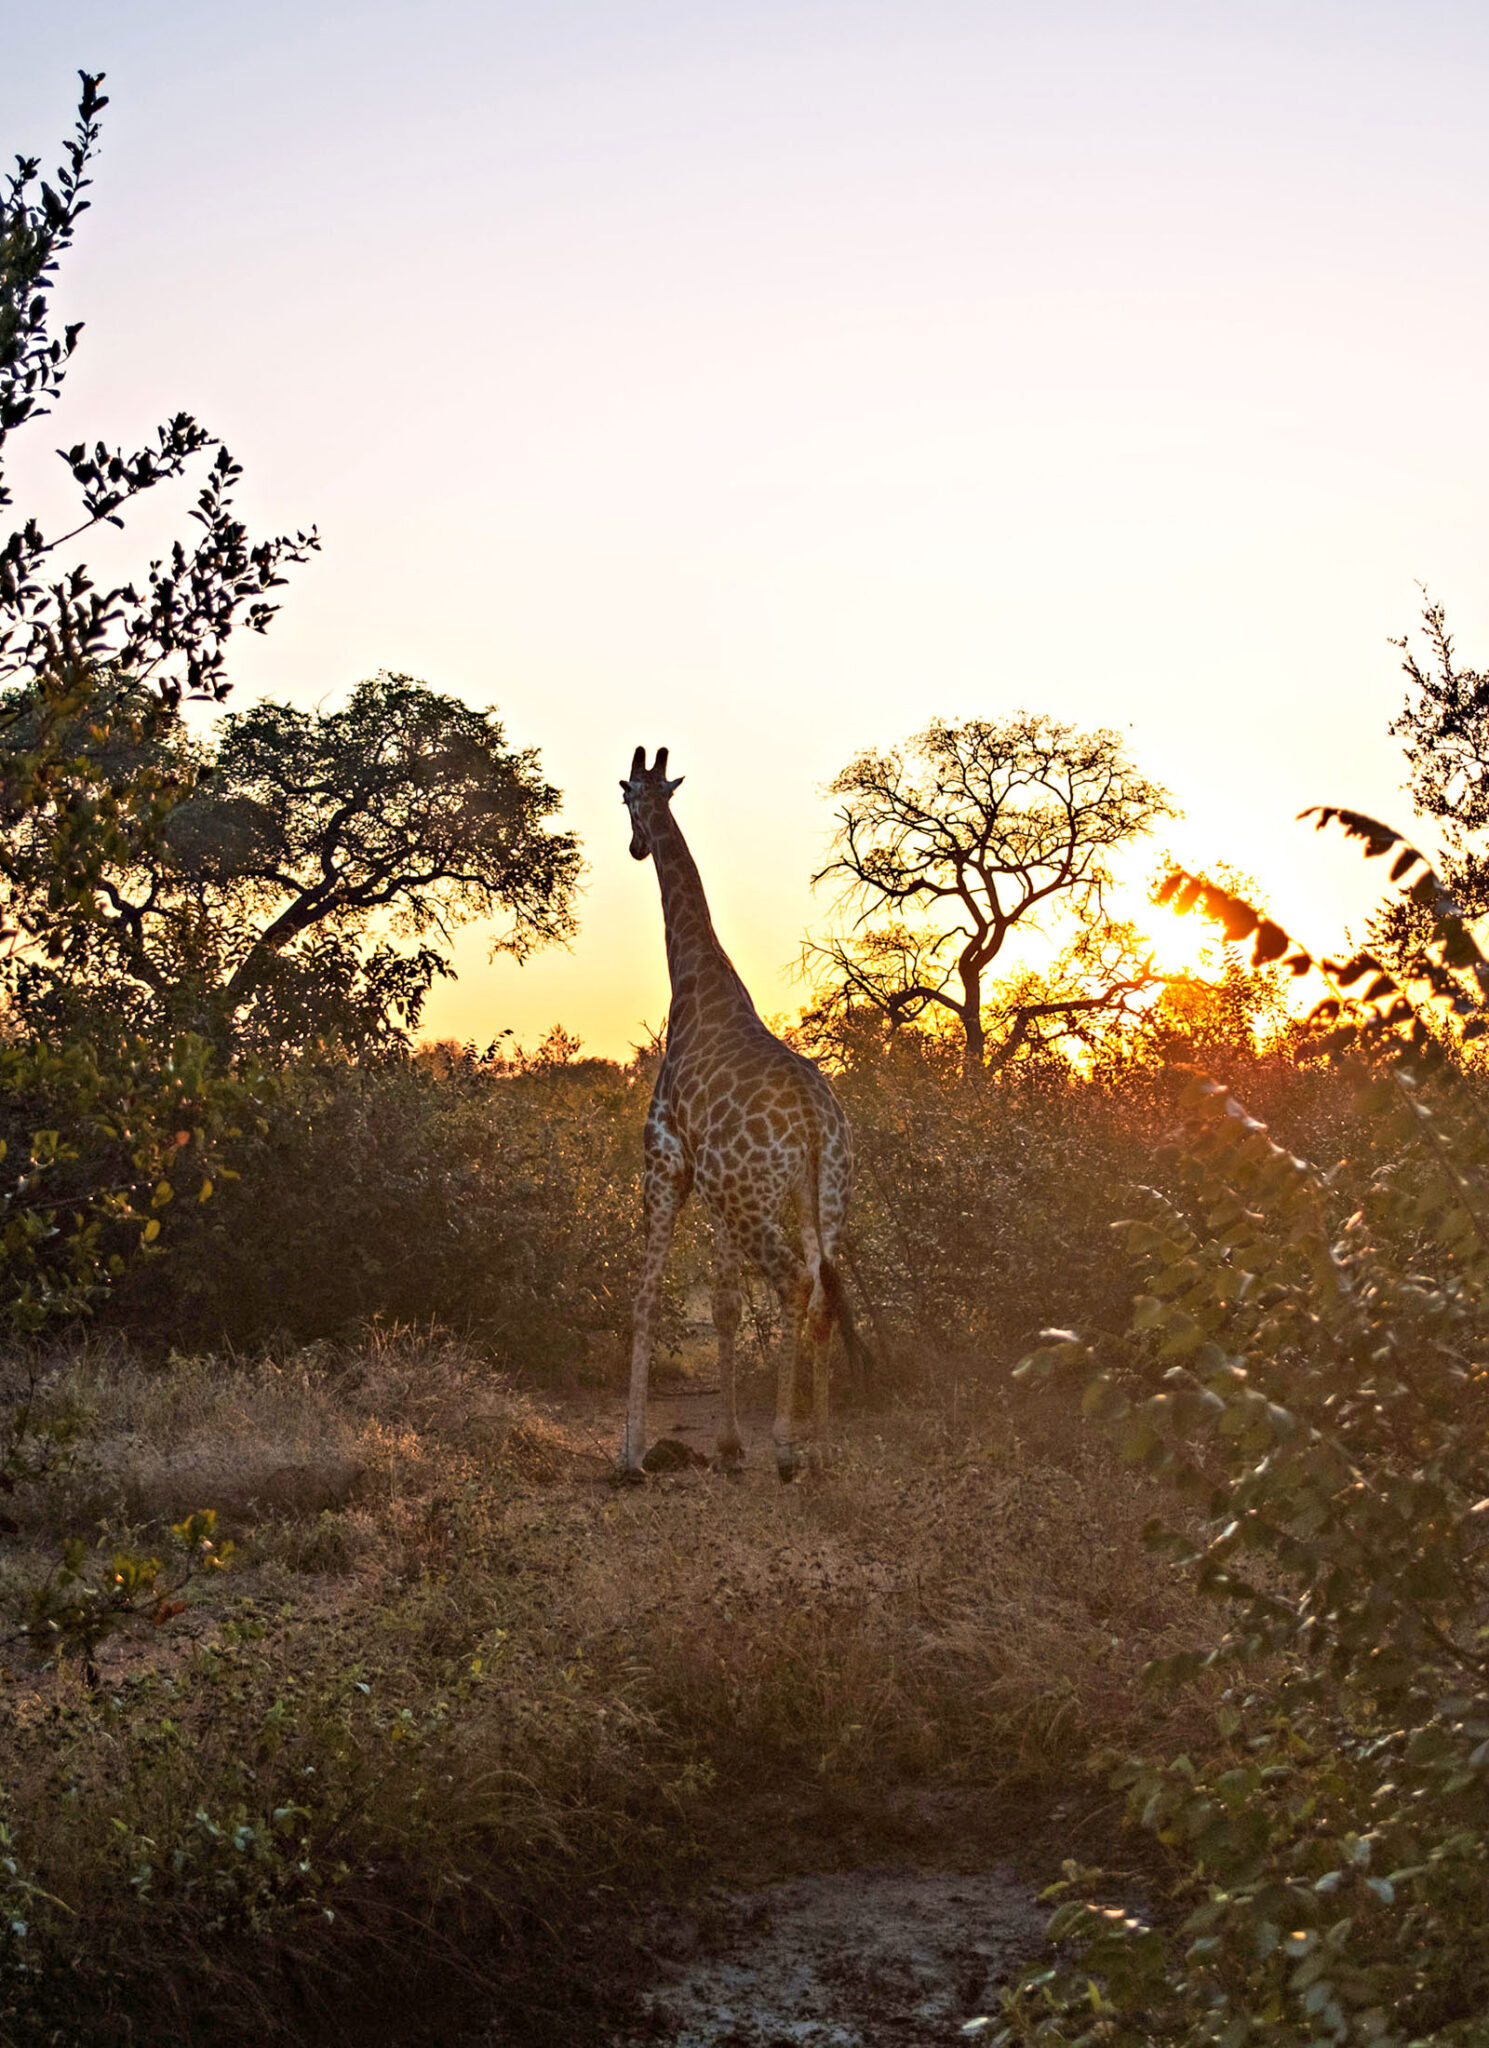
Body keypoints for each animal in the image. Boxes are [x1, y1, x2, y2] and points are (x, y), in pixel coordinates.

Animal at [619, 746, 860, 1482]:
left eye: (625, 796)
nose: (636, 845)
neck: (696, 984)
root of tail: (814, 1120)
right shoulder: (716, 1188)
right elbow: (725, 1307)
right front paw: (727, 1444)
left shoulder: (667, 1165)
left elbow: (643, 1298)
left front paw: (630, 1452)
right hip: (822, 1197)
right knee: (823, 1291)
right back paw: (823, 1445)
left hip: (755, 1199)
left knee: (792, 1284)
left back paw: (786, 1446)